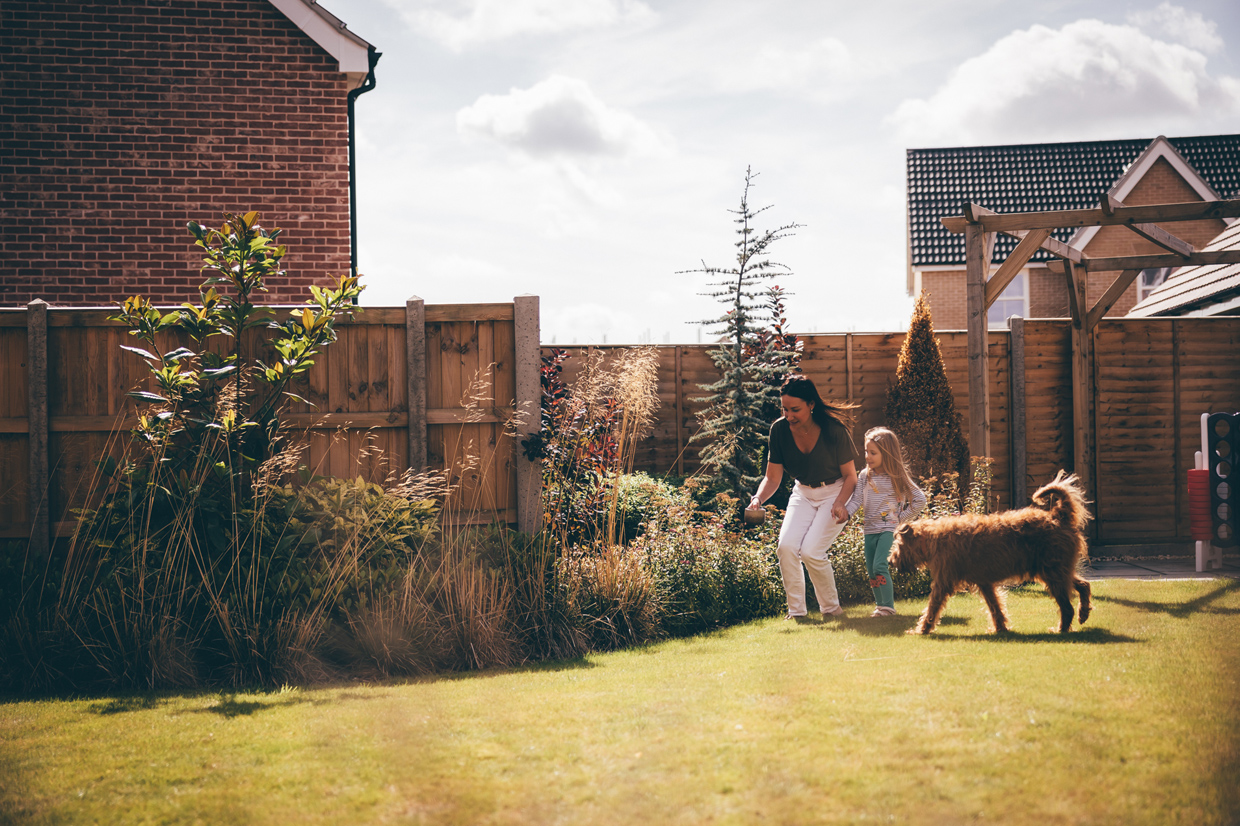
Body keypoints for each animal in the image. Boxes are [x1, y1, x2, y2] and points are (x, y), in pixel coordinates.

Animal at [887, 466, 1091, 632]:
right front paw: (1001, 628)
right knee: (1083, 585)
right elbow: (995, 607)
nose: (890, 561)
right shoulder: (984, 582)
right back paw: (1083, 613)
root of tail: (1058, 516)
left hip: (1052, 572)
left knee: (1067, 607)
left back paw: (1061, 629)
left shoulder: (943, 582)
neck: (933, 539)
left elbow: (932, 607)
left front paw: (922, 629)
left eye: (898, 545)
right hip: (1055, 570)